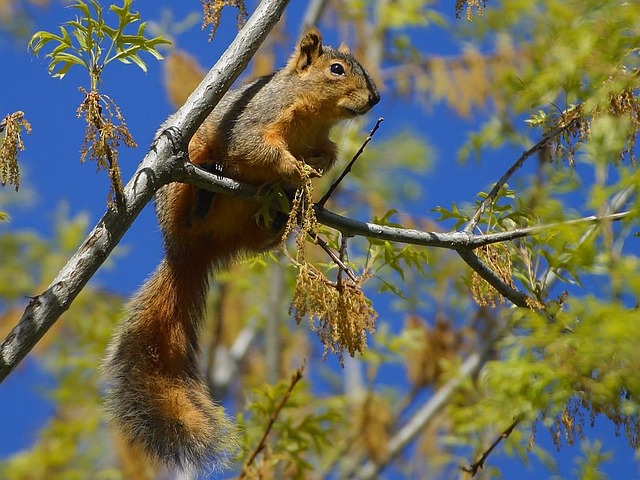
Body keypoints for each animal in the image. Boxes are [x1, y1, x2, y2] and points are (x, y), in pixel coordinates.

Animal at [102, 27, 378, 476]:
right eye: (336, 69)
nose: (374, 99)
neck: (313, 114)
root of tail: (187, 252)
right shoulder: (254, 120)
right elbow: (255, 148)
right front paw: (295, 170)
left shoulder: (320, 139)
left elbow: (327, 155)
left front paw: (312, 172)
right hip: (183, 174)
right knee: (194, 193)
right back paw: (204, 193)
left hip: (249, 233)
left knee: (261, 235)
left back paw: (277, 217)